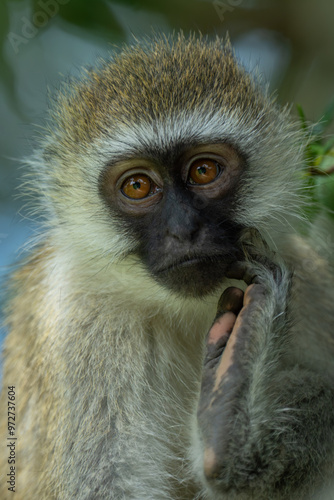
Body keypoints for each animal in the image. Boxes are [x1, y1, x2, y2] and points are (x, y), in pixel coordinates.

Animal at [0, 34, 334, 500]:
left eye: (204, 170)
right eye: (138, 185)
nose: (183, 229)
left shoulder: (310, 281)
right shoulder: (78, 320)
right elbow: (105, 487)